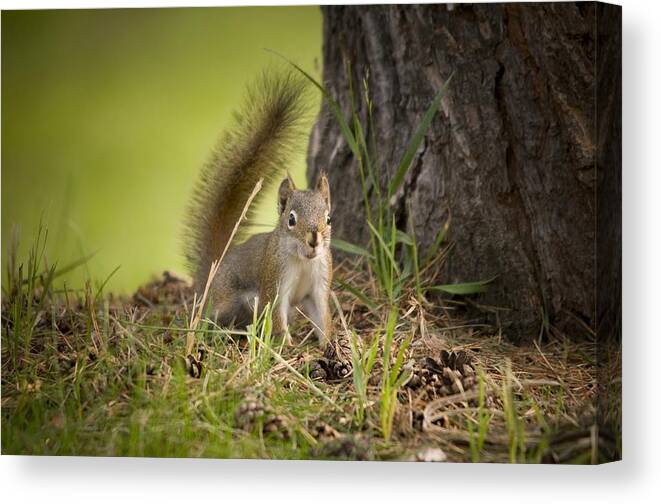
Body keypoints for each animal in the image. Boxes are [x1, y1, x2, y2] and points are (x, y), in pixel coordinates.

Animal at [183, 68, 332, 346]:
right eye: (291, 219)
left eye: (328, 219)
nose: (314, 238)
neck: (303, 260)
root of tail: (212, 274)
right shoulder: (274, 282)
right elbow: (276, 315)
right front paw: (286, 346)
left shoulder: (319, 284)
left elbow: (322, 316)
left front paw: (332, 344)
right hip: (226, 301)